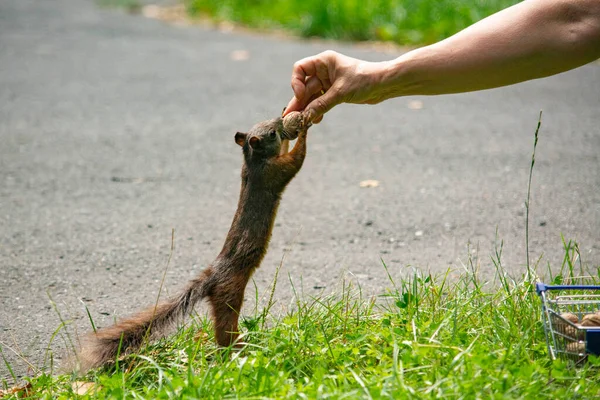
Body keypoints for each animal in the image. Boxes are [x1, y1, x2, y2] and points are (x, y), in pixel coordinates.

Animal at [74, 110, 310, 372]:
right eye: (271, 133)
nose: (280, 119)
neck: (252, 161)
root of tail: (213, 277)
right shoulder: (274, 172)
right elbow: (295, 160)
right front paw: (304, 128)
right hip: (230, 294)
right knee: (225, 328)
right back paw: (237, 351)